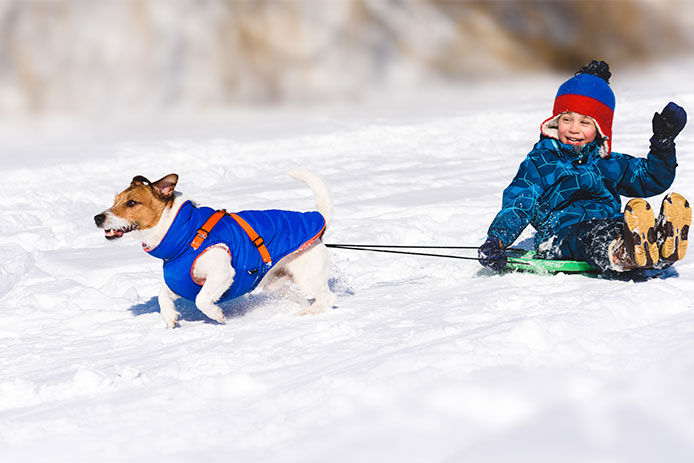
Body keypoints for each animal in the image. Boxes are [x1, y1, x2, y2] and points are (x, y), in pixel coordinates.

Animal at [95, 169, 338, 328]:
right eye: (115, 200)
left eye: (132, 203)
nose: (97, 218)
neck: (184, 234)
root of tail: (320, 220)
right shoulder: (180, 280)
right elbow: (163, 294)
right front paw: (170, 317)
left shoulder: (222, 273)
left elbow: (202, 300)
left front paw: (217, 314)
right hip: (278, 284)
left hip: (308, 275)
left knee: (328, 298)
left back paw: (307, 313)